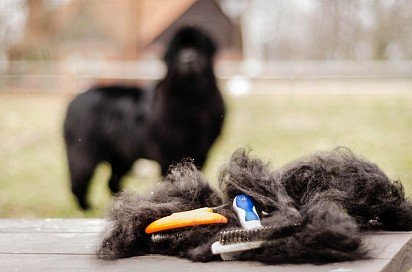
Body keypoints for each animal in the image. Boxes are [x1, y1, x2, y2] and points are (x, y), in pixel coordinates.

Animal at [63, 27, 225, 209]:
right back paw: (86, 207)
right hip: (84, 151)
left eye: (198, 47)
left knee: (112, 181)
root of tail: (74, 100)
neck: (191, 96)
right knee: (79, 179)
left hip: (121, 156)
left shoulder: (202, 150)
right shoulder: (168, 151)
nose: (188, 59)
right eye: (178, 50)